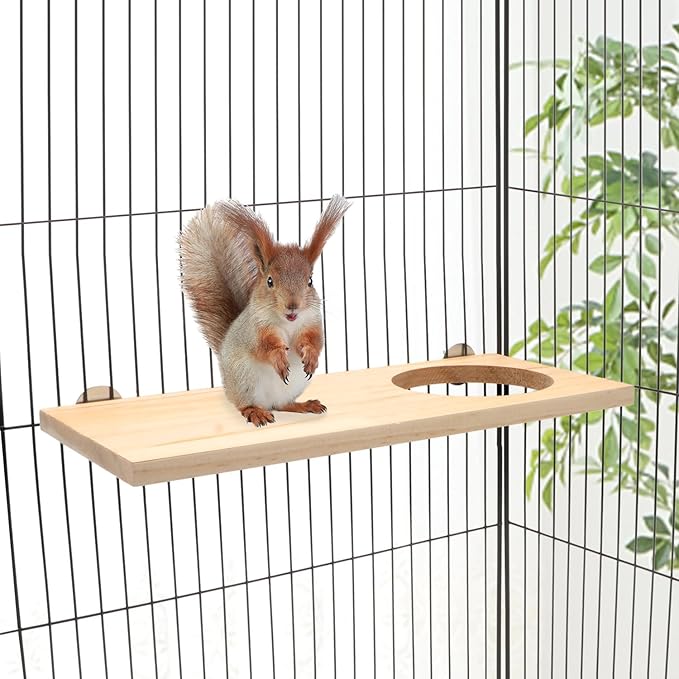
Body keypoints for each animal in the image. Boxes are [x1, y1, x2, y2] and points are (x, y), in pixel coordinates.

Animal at [179, 195, 350, 426]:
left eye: (310, 281)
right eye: (270, 281)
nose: (293, 305)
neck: (288, 322)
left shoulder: (312, 321)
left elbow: (314, 340)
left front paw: (311, 356)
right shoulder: (256, 328)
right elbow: (265, 346)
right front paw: (279, 357)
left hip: (292, 387)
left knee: (282, 404)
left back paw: (305, 405)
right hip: (245, 380)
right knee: (246, 405)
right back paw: (256, 412)